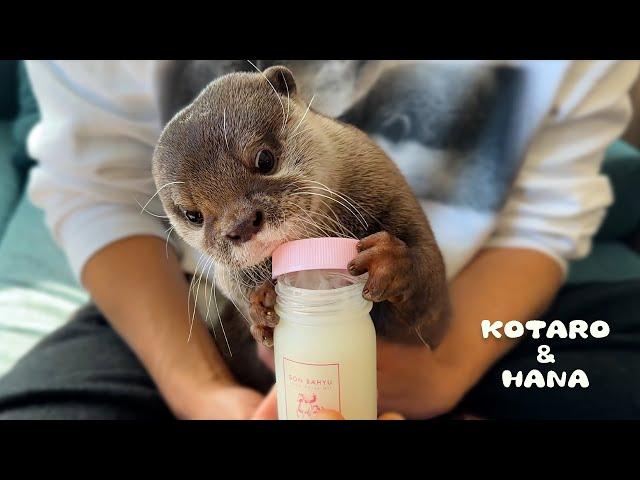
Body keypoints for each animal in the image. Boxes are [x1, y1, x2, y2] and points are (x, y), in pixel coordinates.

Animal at [151, 64, 450, 394]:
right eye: (193, 215)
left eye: (264, 159)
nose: (241, 224)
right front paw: (259, 308)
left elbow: (428, 296)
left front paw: (390, 262)